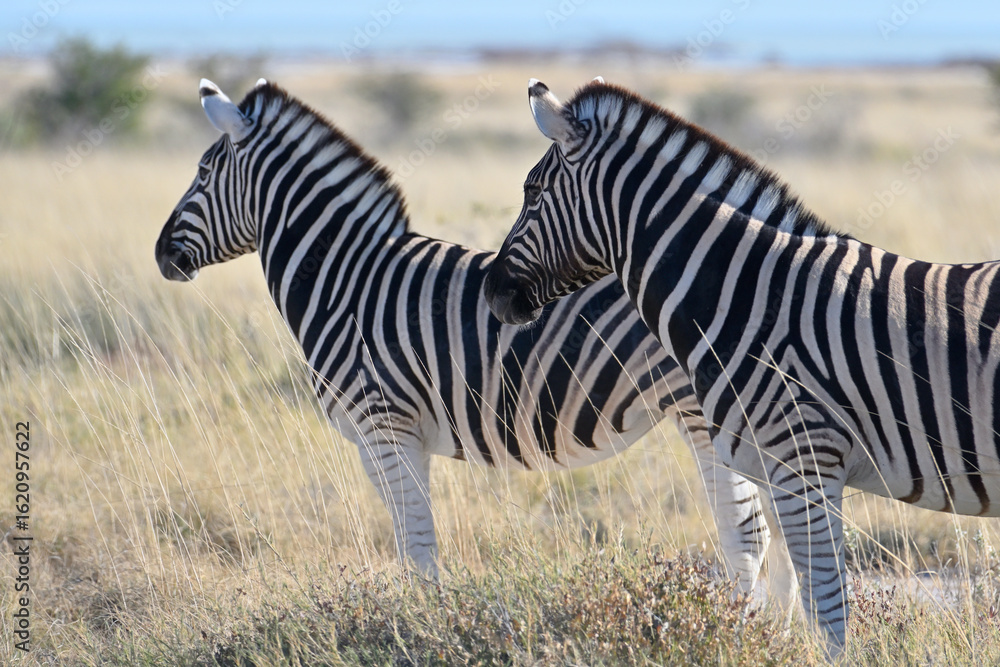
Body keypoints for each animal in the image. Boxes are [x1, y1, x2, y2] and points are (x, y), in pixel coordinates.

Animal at [154, 78, 790, 594]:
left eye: (203, 173)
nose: (161, 255)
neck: (346, 281)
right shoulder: (382, 440)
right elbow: (410, 540)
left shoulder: (386, 428)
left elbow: (417, 547)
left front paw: (419, 625)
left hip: (704, 414)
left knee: (749, 538)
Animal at [484, 77, 1000, 655]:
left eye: (532, 193)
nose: (491, 291)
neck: (749, 298)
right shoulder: (781, 468)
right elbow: (796, 592)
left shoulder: (805, 460)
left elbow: (827, 610)